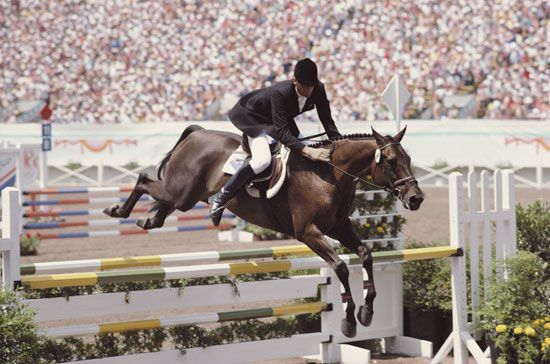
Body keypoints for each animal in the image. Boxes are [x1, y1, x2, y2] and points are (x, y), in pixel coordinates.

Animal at [104, 123, 426, 336]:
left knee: (160, 202)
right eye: (392, 161)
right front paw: (348, 320)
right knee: (144, 180)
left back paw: (150, 220)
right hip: (180, 192)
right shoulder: (308, 232)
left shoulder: (338, 226)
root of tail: (198, 132)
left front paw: (368, 311)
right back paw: (117, 211)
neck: (328, 174)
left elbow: (366, 254)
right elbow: (341, 268)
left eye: (409, 159)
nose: (416, 199)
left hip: (184, 197)